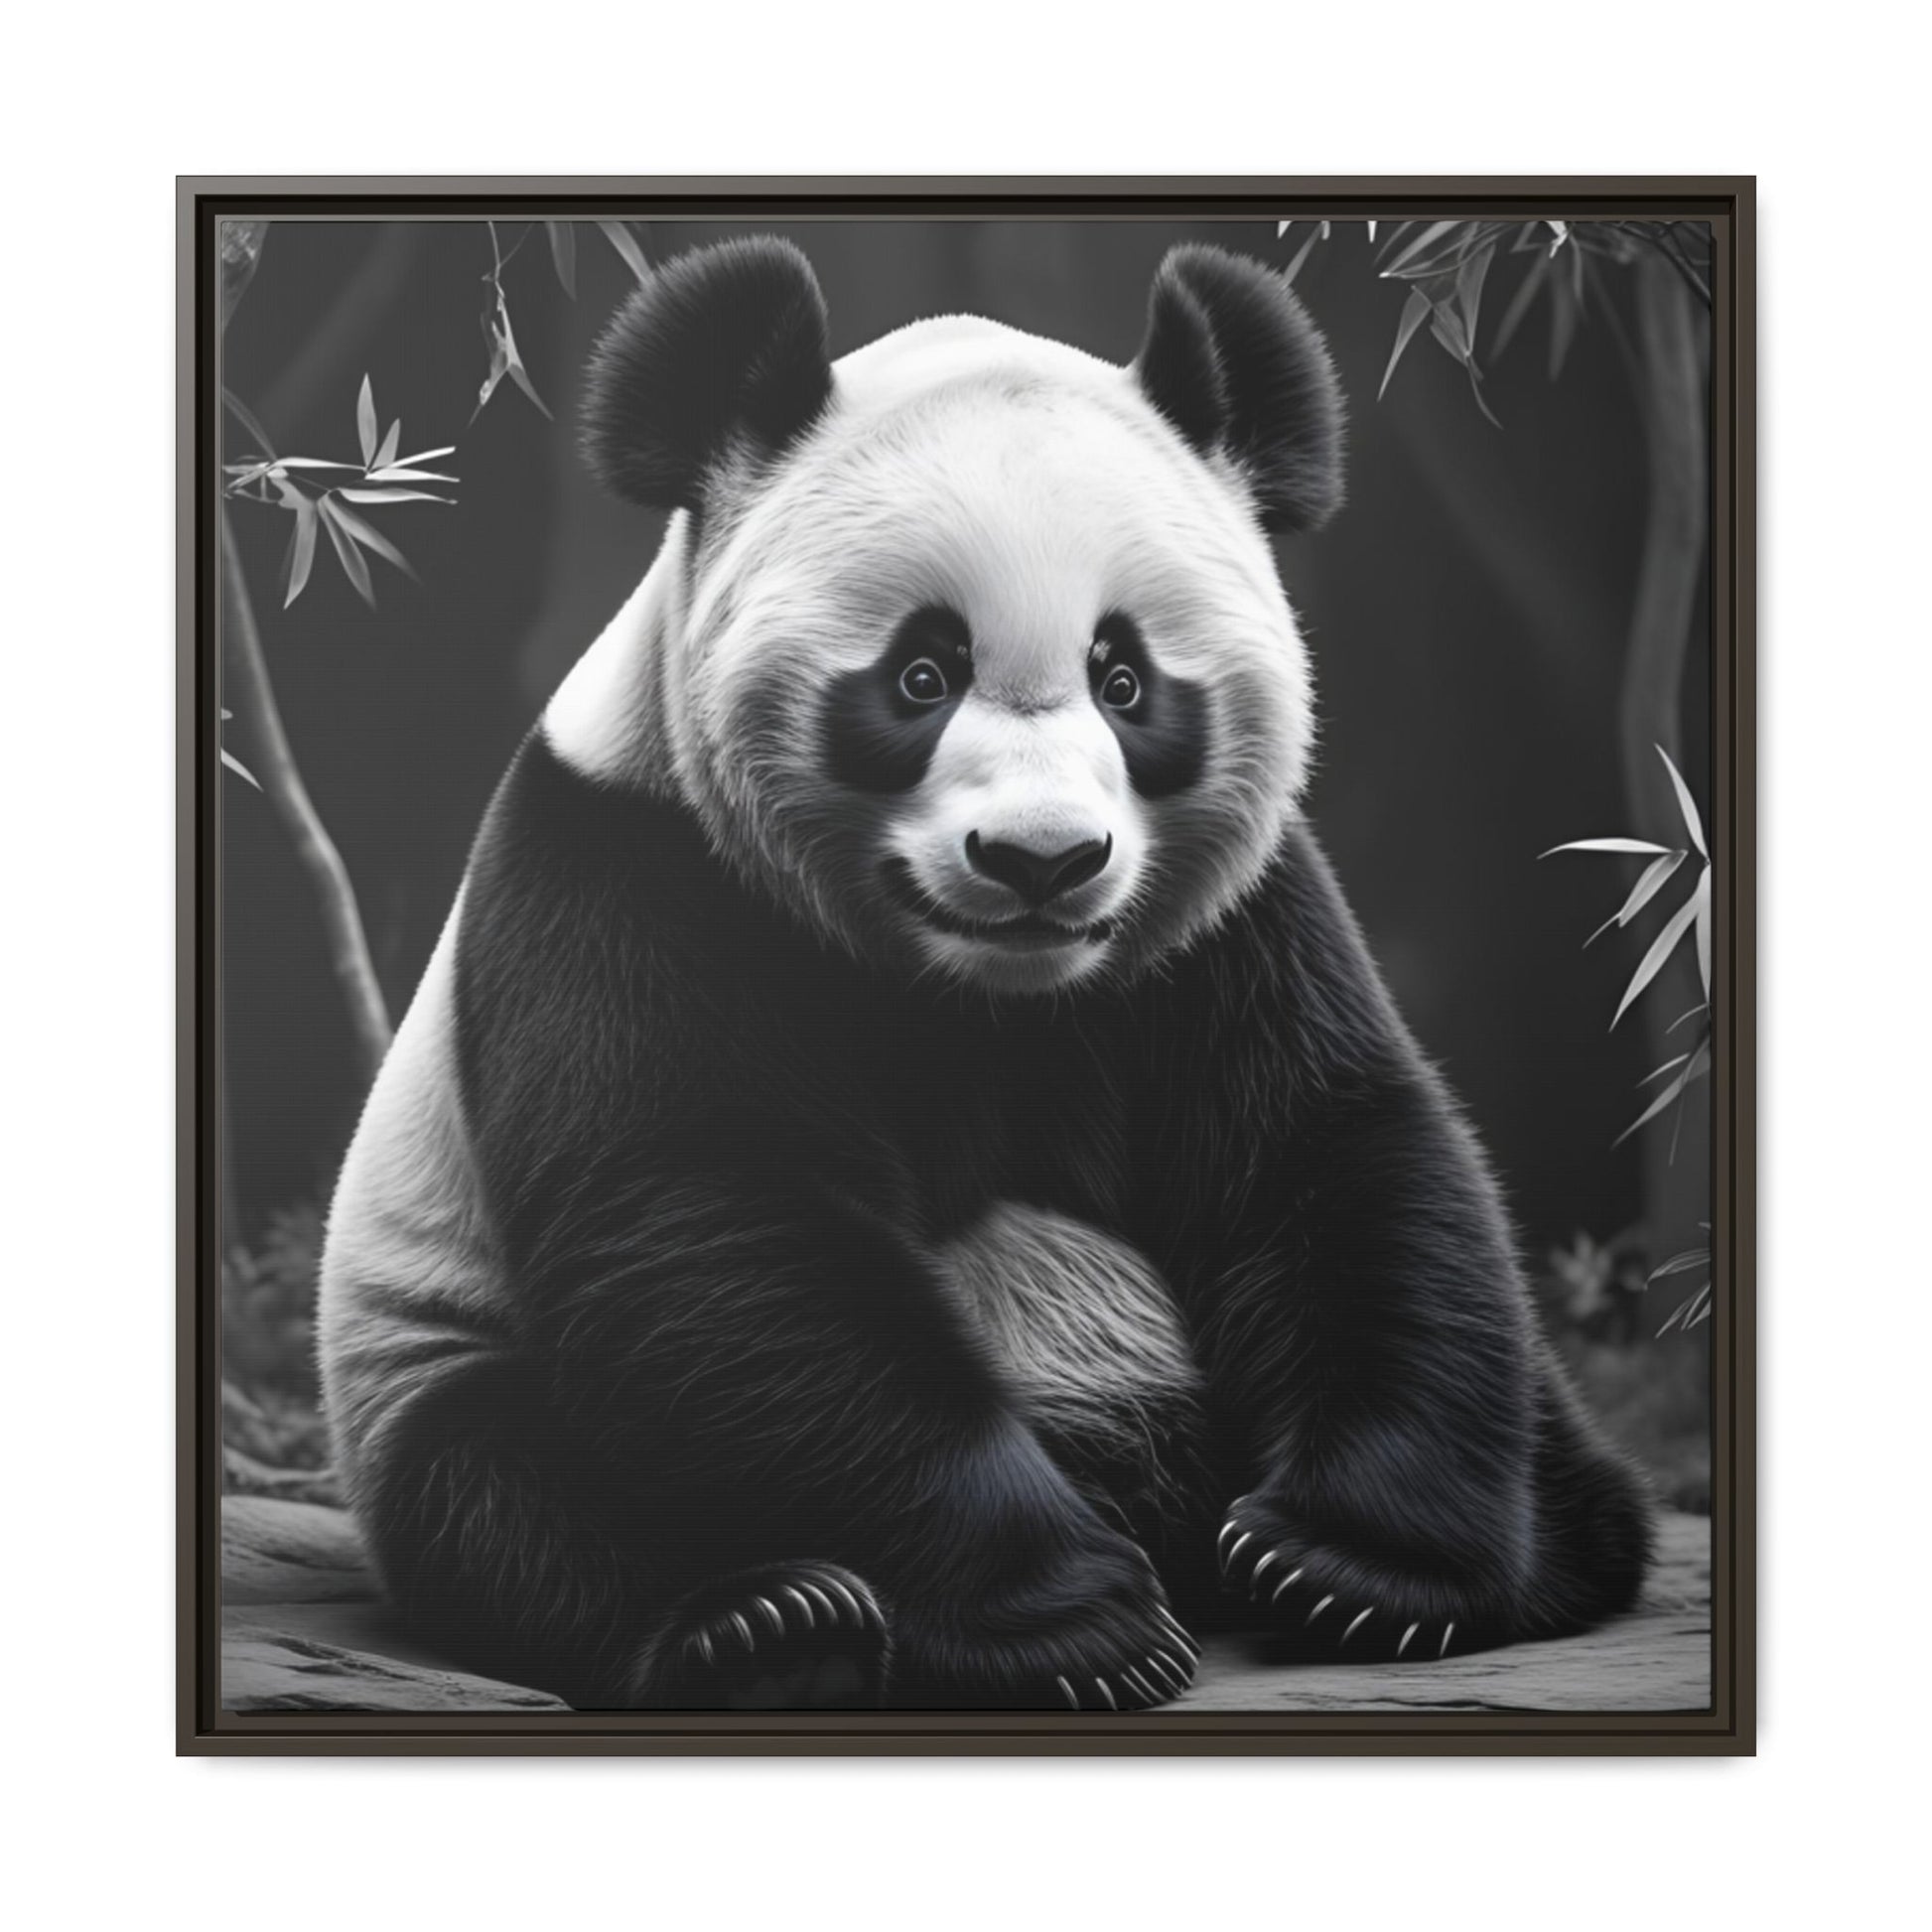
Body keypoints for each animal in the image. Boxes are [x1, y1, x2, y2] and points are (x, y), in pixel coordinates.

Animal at [318, 236, 1653, 1712]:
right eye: (920, 673)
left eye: (1124, 677)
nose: (1041, 860)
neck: (980, 995)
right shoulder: (633, 874)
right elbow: (711, 1221)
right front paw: (1072, 1622)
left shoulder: (1228, 923)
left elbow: (1326, 1150)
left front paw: (1349, 1567)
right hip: (425, 1354)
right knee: (511, 1492)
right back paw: (771, 1627)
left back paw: (1555, 1540)